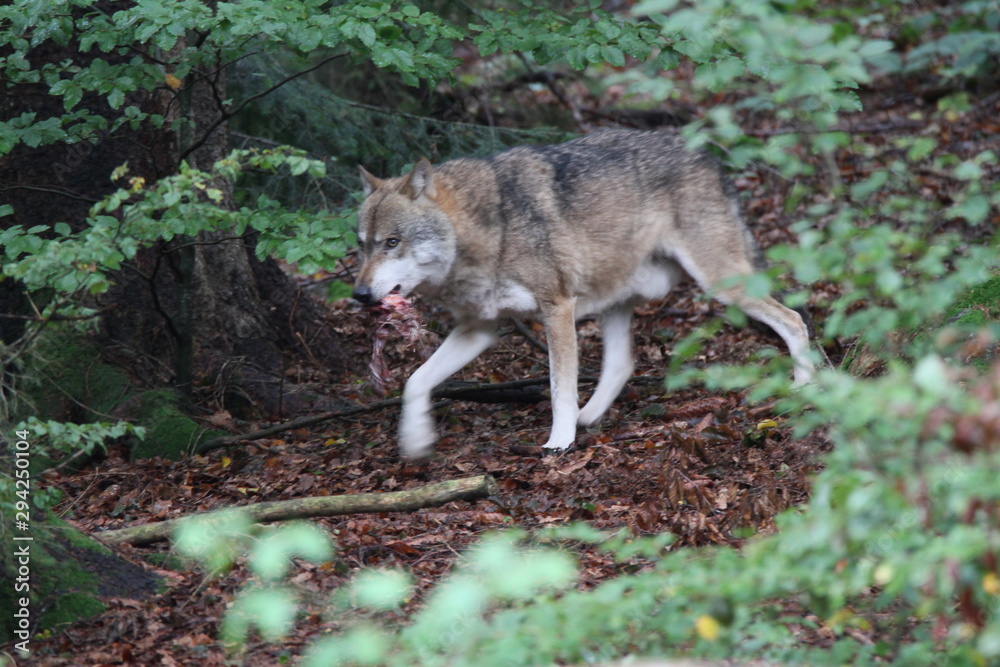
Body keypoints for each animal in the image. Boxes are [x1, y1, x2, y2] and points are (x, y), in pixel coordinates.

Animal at [353, 129, 815, 458]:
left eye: (392, 243)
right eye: (362, 245)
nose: (358, 293)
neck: (486, 231)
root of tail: (707, 155)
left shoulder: (556, 307)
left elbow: (559, 388)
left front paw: (559, 441)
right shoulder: (480, 330)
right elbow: (415, 381)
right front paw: (415, 441)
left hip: (720, 284)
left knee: (795, 320)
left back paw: (805, 387)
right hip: (618, 298)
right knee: (623, 364)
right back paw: (589, 416)